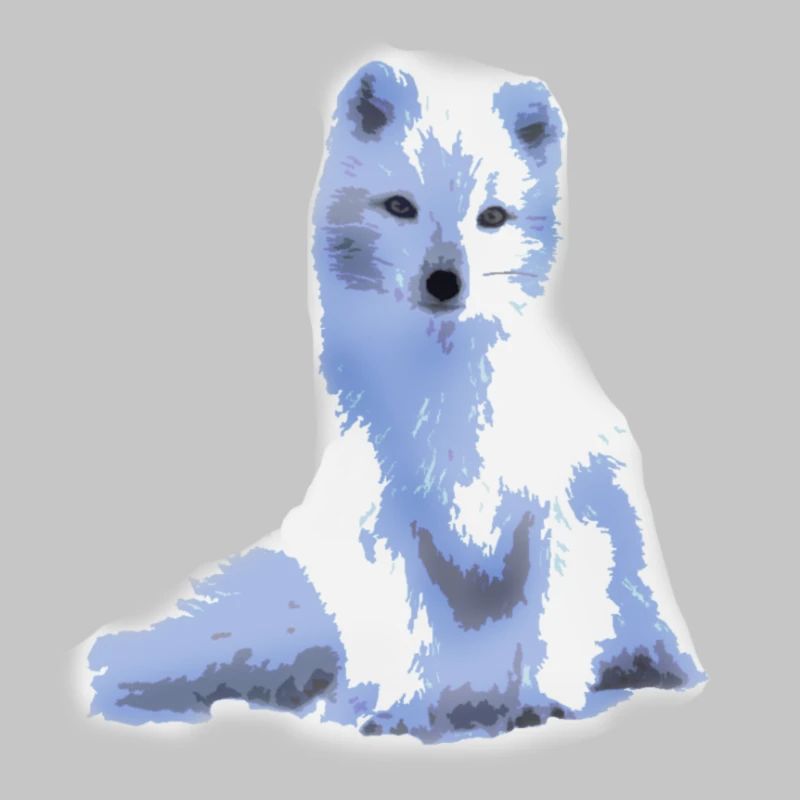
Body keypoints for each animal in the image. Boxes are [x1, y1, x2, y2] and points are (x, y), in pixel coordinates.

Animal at [76, 48, 707, 745]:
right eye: (400, 206)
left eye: (493, 217)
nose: (445, 280)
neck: (449, 394)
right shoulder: (386, 517)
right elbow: (407, 624)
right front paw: (399, 710)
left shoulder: (562, 509)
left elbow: (552, 623)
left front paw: (544, 703)